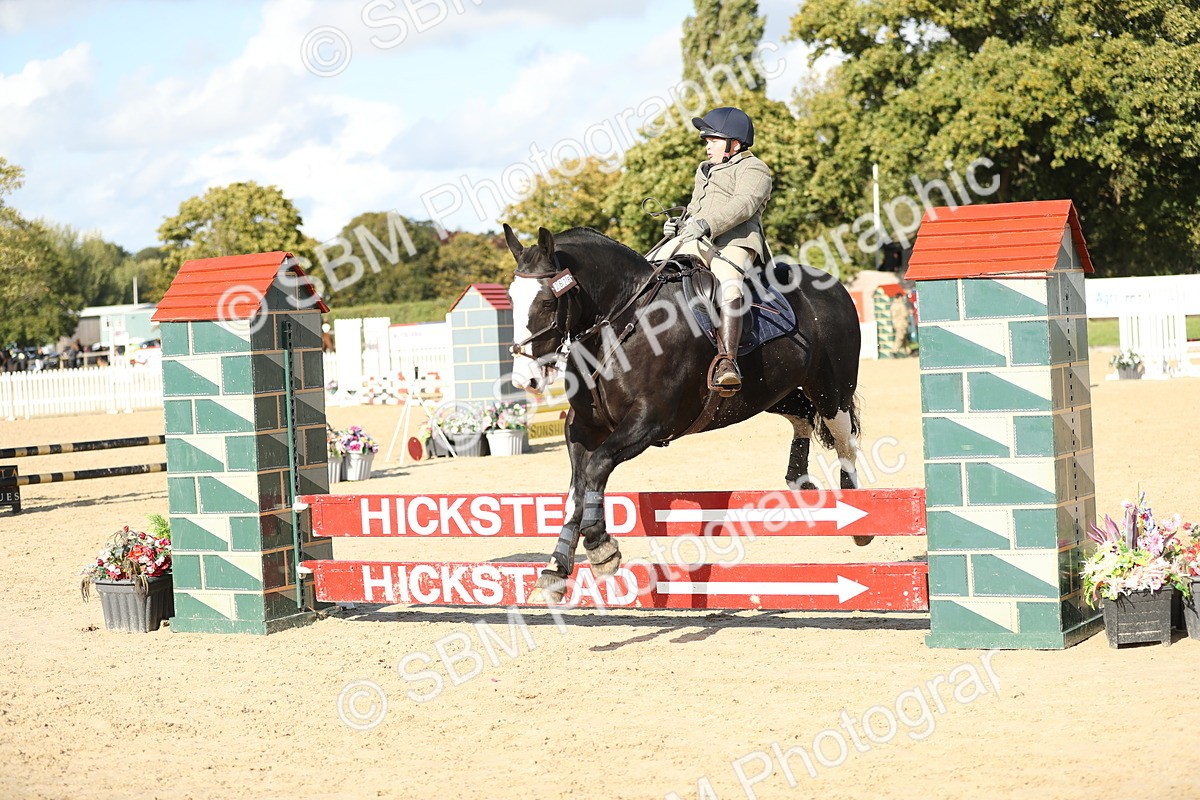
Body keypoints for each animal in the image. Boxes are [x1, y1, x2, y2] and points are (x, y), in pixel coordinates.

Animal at [503, 223, 864, 601]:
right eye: (511, 299)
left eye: (547, 301)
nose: (525, 379)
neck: (623, 323)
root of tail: (834, 285)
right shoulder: (582, 428)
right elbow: (578, 487)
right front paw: (554, 571)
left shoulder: (650, 421)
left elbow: (597, 467)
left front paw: (601, 547)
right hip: (773, 394)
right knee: (803, 415)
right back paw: (799, 480)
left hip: (831, 390)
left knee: (844, 441)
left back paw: (856, 511)